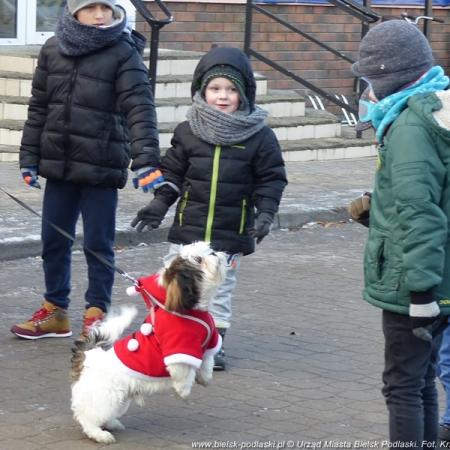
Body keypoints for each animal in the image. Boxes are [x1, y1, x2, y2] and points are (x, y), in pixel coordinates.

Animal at [71, 243, 227, 442]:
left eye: (209, 250)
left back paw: (112, 424)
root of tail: (88, 357)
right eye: (198, 259)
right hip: (105, 395)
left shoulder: (208, 342)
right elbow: (183, 373)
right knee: (88, 416)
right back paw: (99, 434)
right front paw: (184, 391)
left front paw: (205, 378)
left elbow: (207, 361)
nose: (214, 253)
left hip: (119, 398)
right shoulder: (178, 347)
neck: (189, 310)